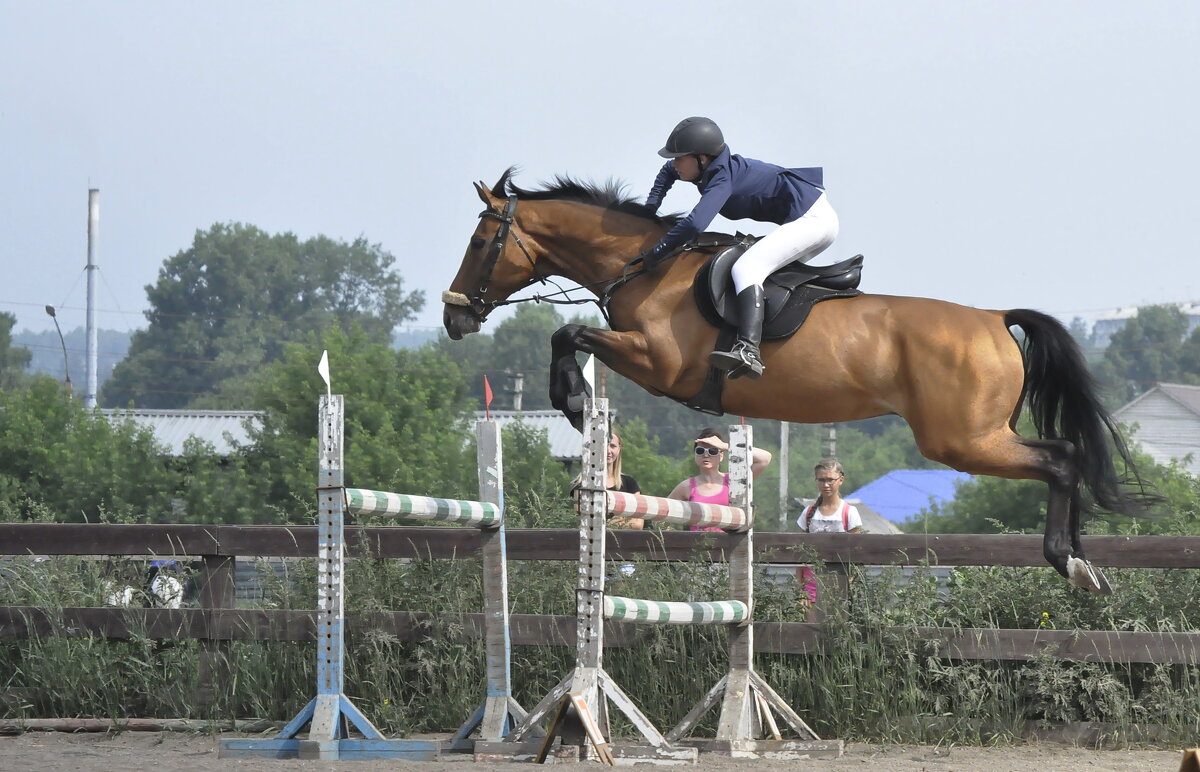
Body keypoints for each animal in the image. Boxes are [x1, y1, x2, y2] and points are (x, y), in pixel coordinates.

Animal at [444, 168, 1152, 593]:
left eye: (480, 243)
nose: (454, 317)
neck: (644, 266)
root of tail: (992, 318)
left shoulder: (659, 364)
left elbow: (570, 335)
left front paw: (572, 398)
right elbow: (569, 335)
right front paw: (574, 400)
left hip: (962, 439)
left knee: (1061, 459)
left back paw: (1070, 559)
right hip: (974, 436)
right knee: (1068, 454)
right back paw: (1084, 559)